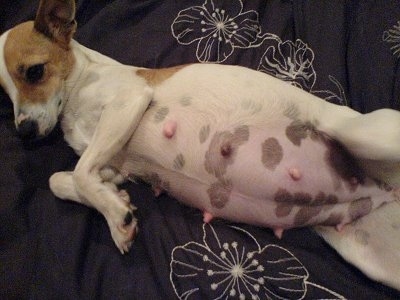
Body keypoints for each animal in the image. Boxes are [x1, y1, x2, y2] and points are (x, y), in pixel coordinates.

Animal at [0, 0, 400, 290]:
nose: (23, 132)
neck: (79, 86)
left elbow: (81, 174)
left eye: (34, 71)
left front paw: (116, 219)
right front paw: (113, 199)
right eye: (4, 92)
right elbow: (63, 180)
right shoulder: (110, 159)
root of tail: (386, 190)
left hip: (363, 135)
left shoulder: (128, 102)